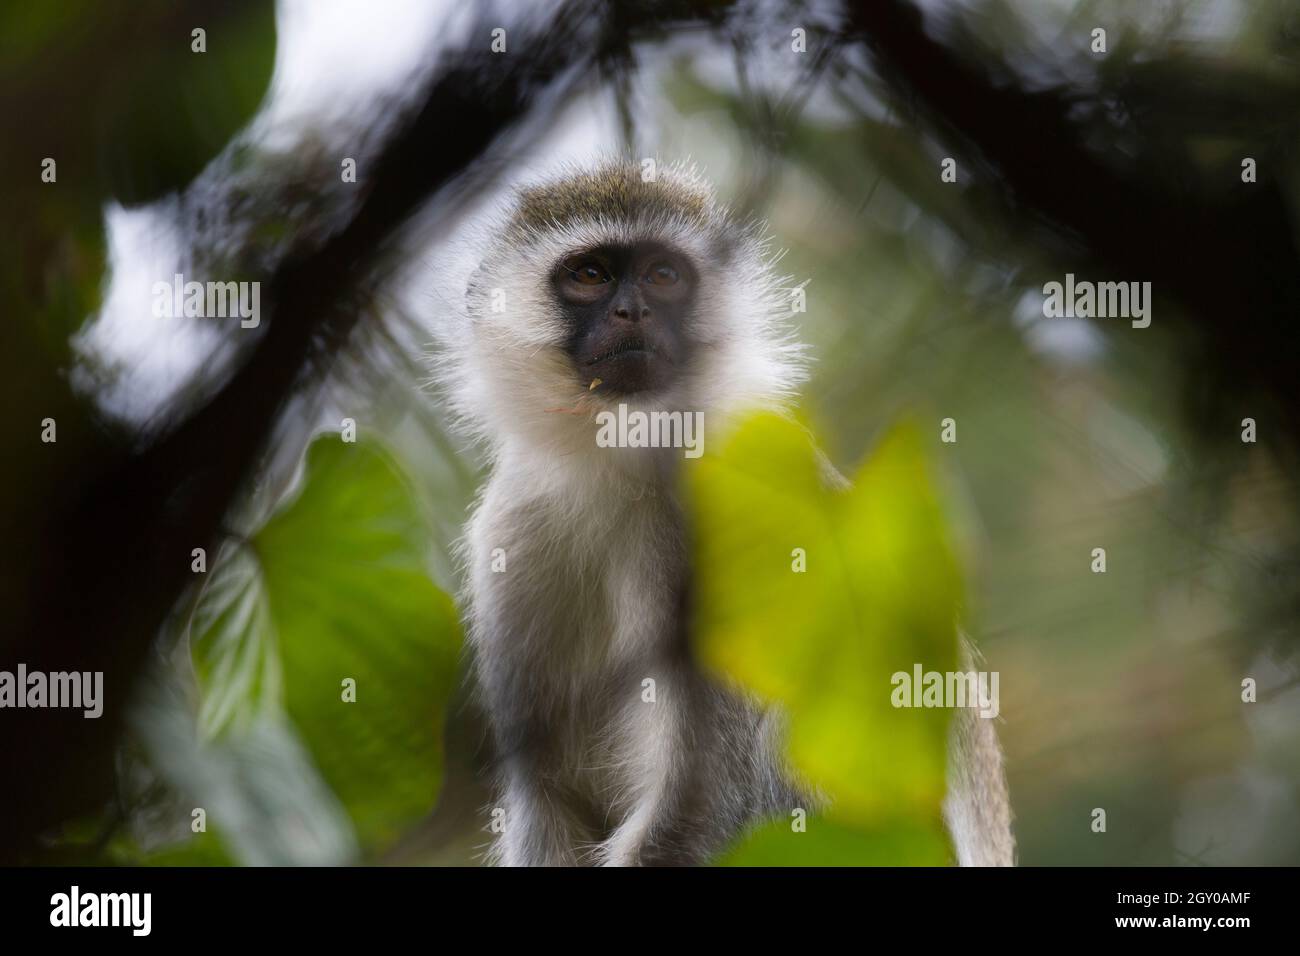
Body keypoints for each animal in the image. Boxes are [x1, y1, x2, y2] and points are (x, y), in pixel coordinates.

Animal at [436, 158, 1013, 868]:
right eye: (590, 274)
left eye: (663, 275)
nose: (634, 309)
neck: (615, 468)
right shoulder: (510, 530)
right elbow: (550, 798)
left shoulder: (718, 518)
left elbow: (703, 796)